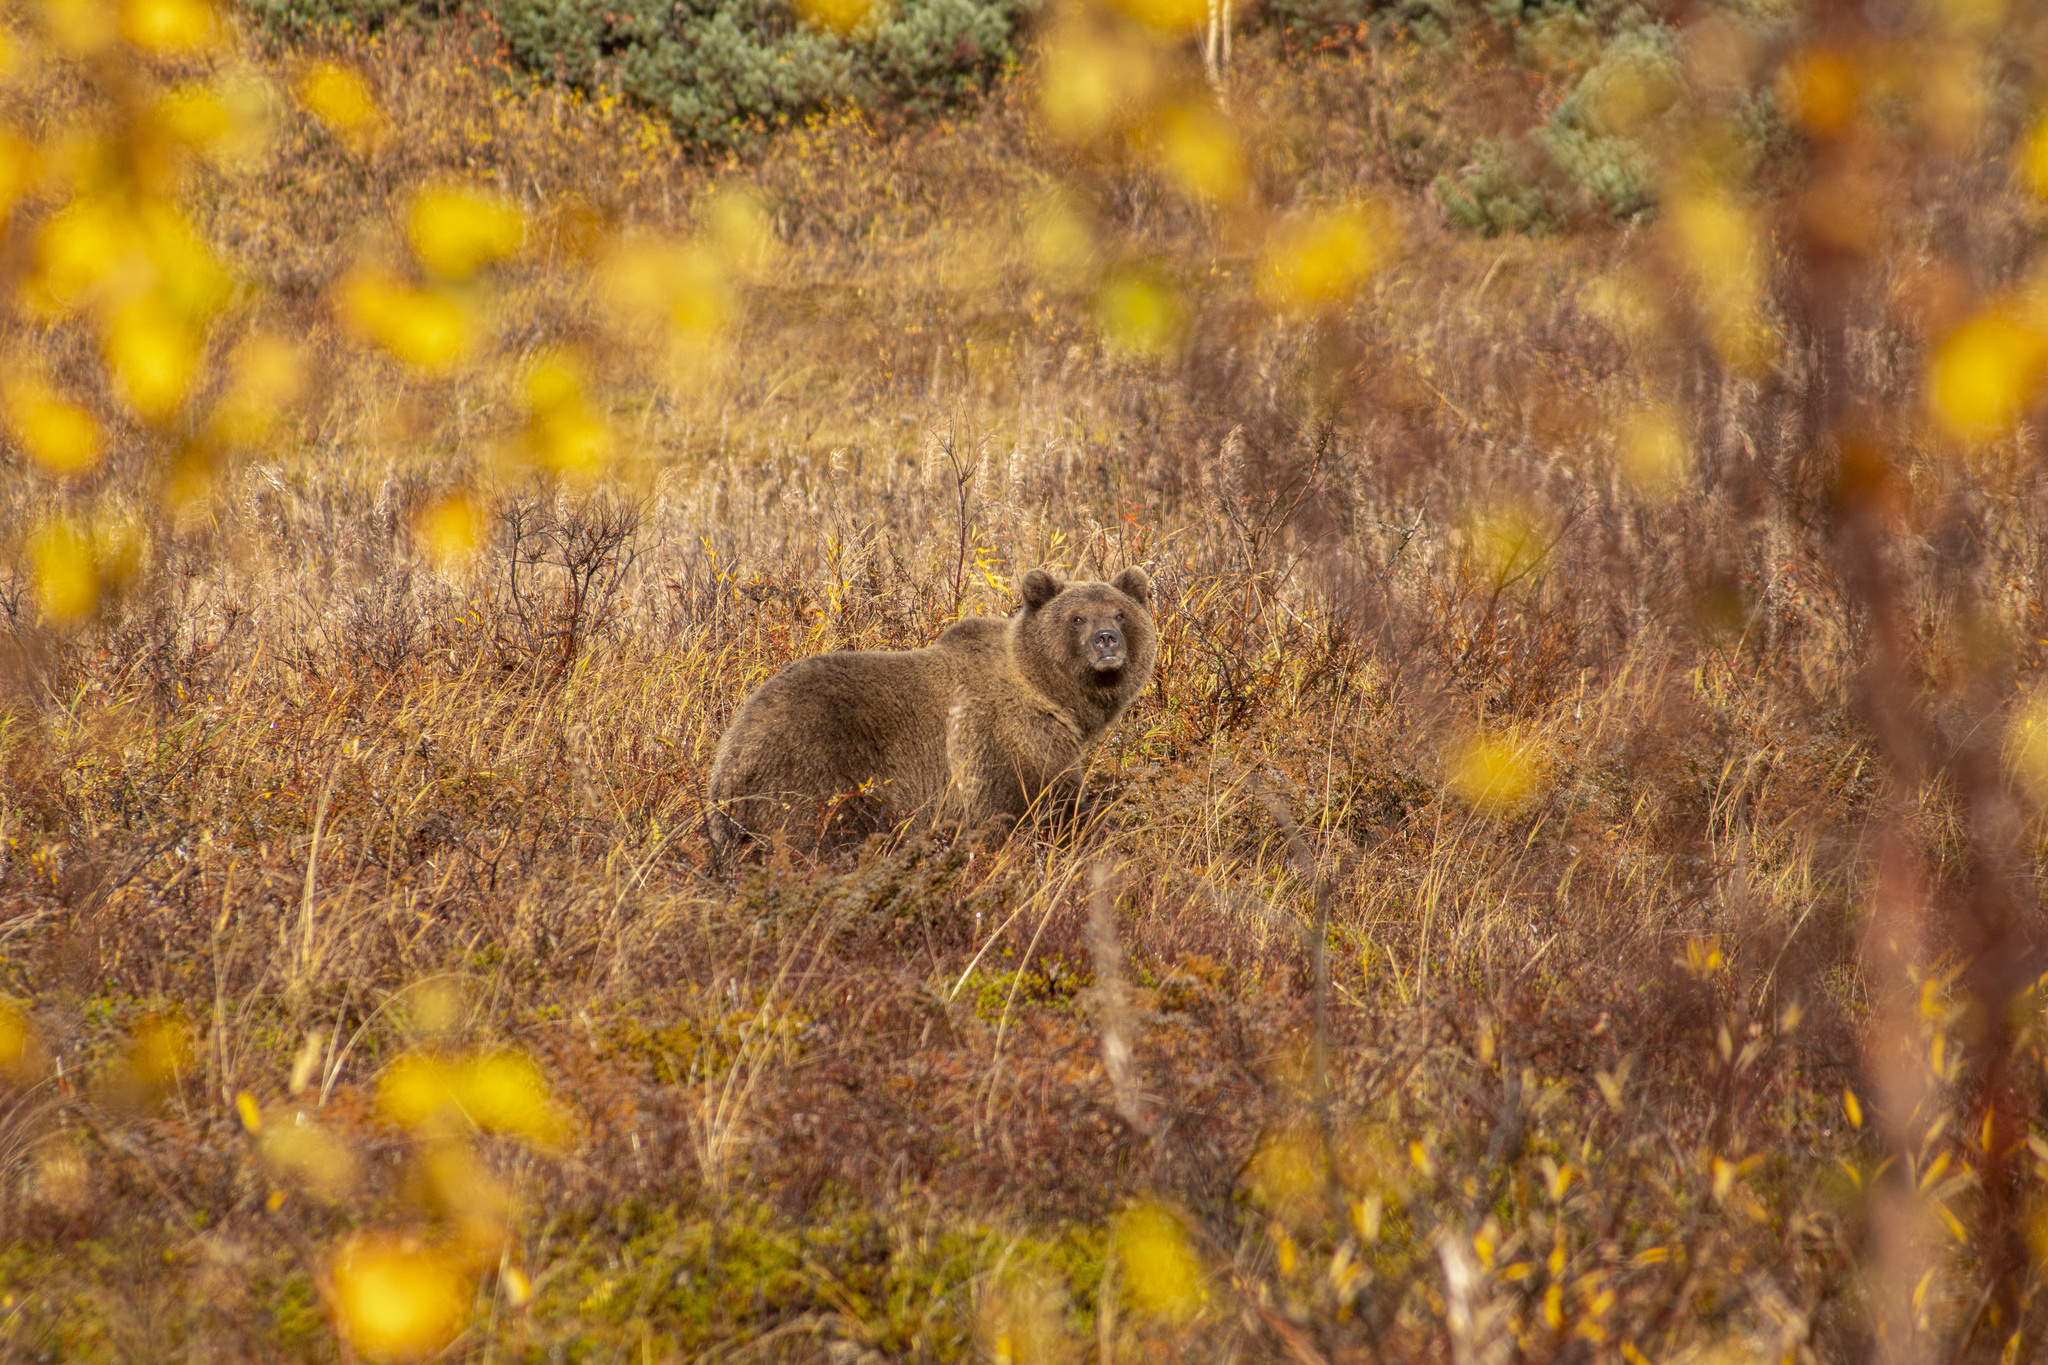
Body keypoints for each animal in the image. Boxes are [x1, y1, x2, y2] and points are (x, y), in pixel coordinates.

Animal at [704, 564, 1155, 843]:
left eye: (1120, 612)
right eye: (1077, 618)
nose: (1106, 640)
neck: (1051, 693)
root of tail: (728, 758)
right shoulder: (1007, 741)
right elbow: (1035, 807)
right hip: (812, 775)